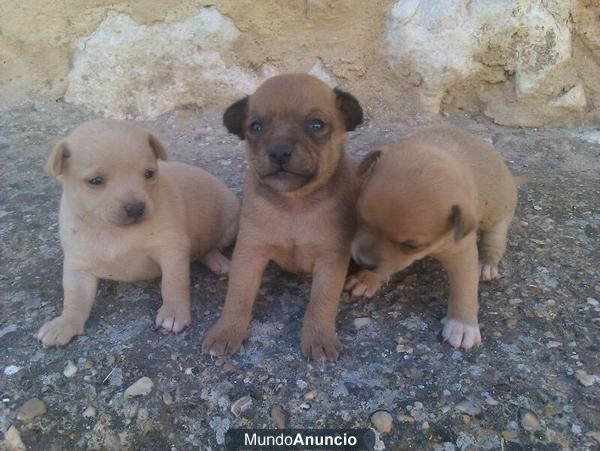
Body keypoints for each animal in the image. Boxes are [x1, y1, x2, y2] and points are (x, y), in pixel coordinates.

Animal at [36, 119, 239, 346]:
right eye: (95, 181)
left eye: (149, 174)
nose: (135, 208)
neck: (114, 231)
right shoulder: (78, 266)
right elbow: (74, 298)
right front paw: (65, 323)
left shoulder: (171, 250)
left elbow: (173, 284)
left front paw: (174, 311)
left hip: (229, 223)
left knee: (209, 247)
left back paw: (219, 262)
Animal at [202, 75, 364, 364]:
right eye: (255, 127)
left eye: (316, 124)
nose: (279, 152)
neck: (294, 204)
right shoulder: (249, 253)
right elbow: (237, 296)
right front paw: (227, 330)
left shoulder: (330, 259)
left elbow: (321, 301)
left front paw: (319, 336)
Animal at [344, 129, 524, 352]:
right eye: (358, 217)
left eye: (410, 245)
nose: (362, 262)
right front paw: (366, 278)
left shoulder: (462, 254)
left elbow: (465, 289)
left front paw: (462, 324)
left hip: (499, 215)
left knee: (495, 240)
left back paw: (486, 263)